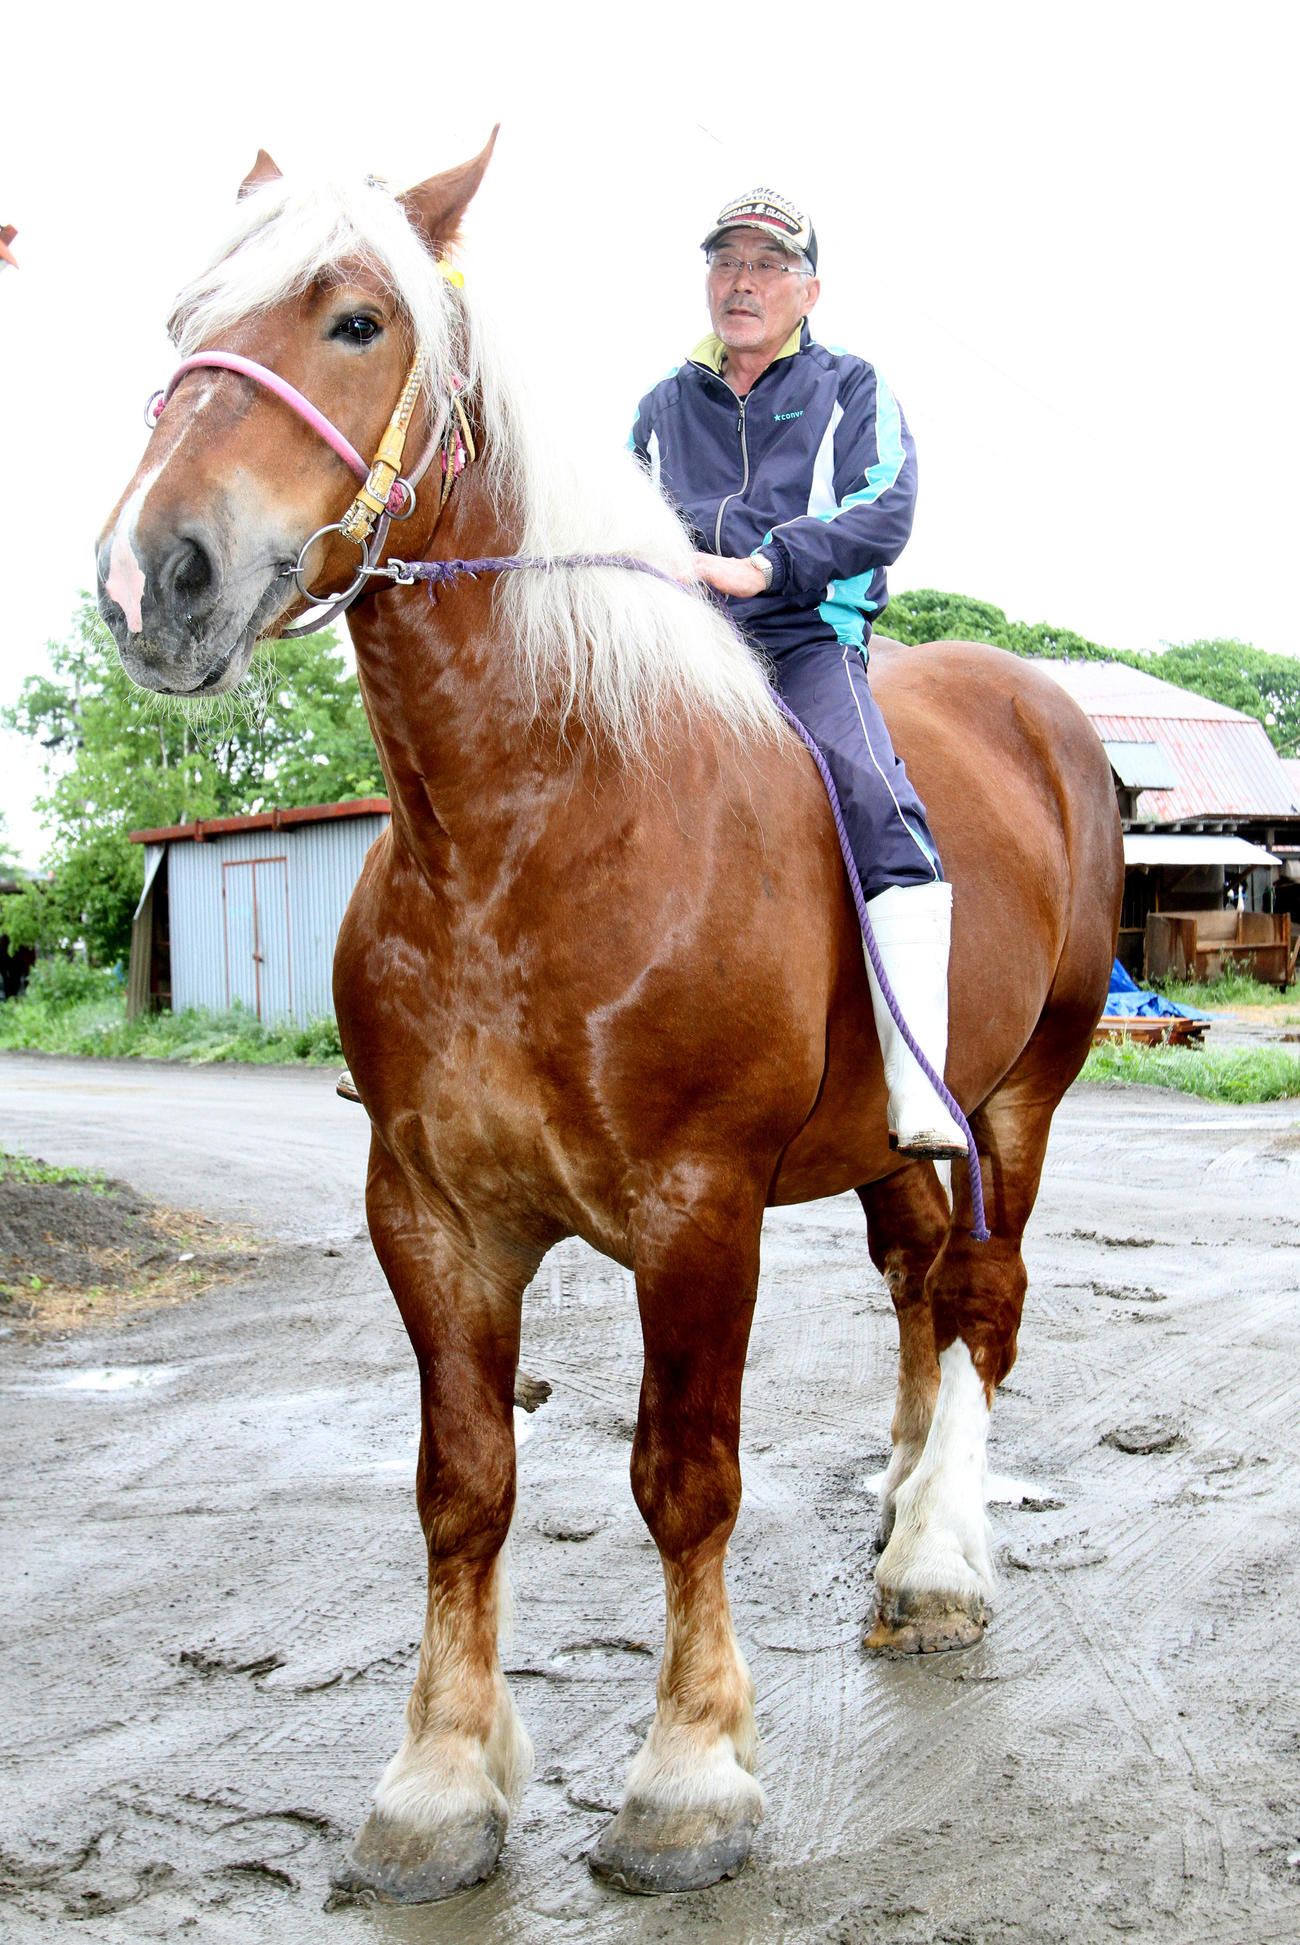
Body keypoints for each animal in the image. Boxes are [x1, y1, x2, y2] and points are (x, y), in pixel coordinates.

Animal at [95, 136, 1123, 1903]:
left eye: (356, 319)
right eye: (181, 320)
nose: (154, 579)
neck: (535, 820)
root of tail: (1046, 707)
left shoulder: (696, 1211)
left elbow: (684, 1479)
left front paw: (688, 1777)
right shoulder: (431, 1213)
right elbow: (463, 1485)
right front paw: (439, 1785)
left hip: (1020, 1098)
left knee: (984, 1299)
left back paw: (936, 1559)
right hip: (889, 1141)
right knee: (921, 1284)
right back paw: (906, 1486)